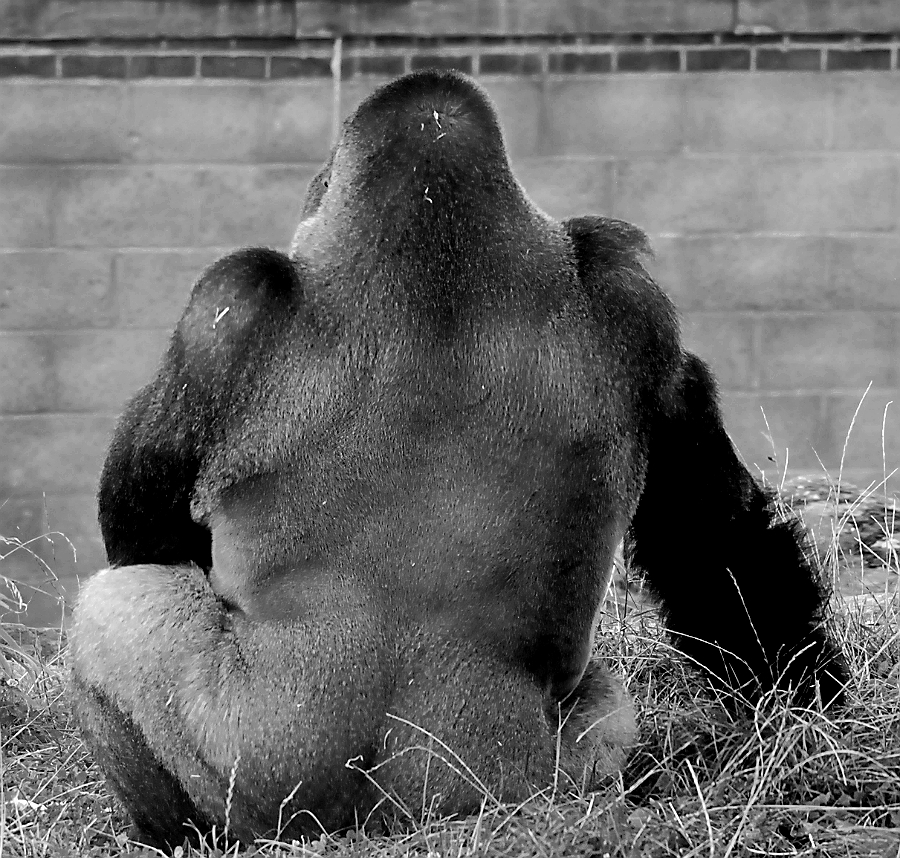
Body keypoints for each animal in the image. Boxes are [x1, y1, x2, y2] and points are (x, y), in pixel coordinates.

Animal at [70, 69, 847, 848]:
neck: (440, 229)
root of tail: (404, 815)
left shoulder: (228, 305)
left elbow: (140, 528)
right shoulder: (634, 304)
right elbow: (713, 538)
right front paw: (803, 701)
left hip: (267, 784)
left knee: (116, 611)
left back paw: (167, 830)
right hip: (558, 772)